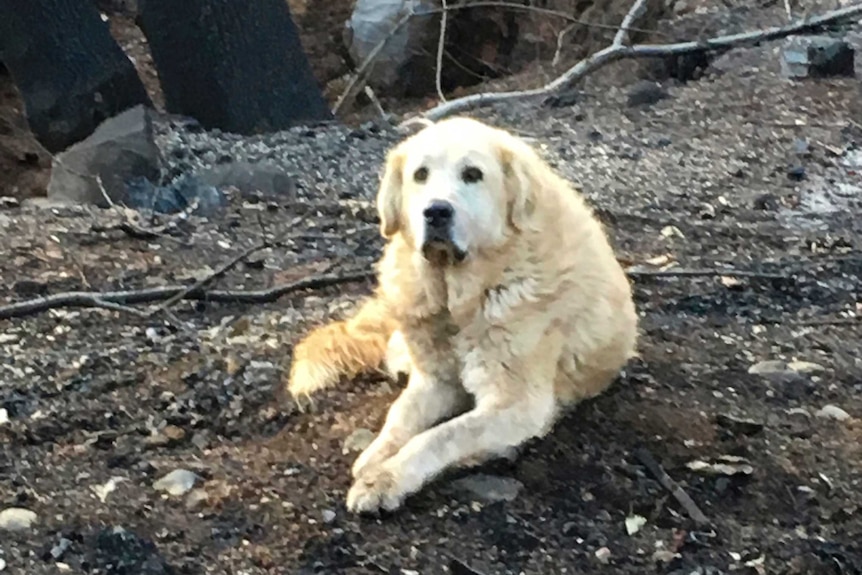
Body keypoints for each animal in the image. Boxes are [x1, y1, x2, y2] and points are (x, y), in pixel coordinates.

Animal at [286, 115, 636, 516]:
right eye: (420, 174)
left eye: (472, 174)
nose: (436, 211)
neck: (458, 297)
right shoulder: (434, 381)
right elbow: (399, 417)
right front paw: (375, 457)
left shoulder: (516, 404)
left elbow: (440, 436)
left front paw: (386, 478)